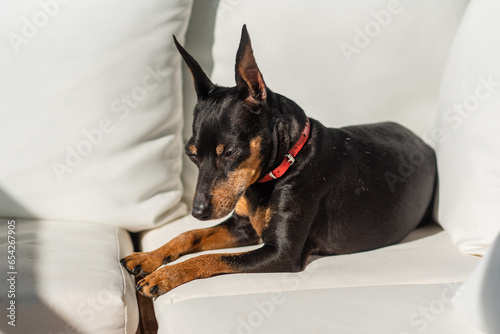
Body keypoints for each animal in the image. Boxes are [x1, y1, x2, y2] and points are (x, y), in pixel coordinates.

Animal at [119, 24, 436, 298]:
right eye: (191, 154)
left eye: (230, 152)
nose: (197, 211)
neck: (285, 163)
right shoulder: (242, 226)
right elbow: (189, 235)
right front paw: (148, 258)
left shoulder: (282, 253)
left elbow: (212, 258)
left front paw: (164, 275)